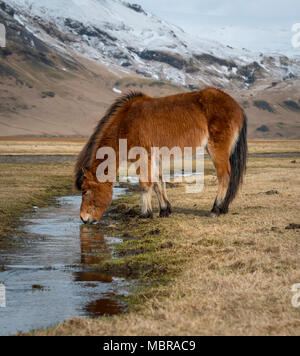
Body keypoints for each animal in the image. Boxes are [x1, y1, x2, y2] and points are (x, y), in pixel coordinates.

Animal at [75, 87, 248, 224]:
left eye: (84, 191)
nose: (83, 219)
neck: (125, 123)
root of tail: (237, 107)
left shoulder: (142, 157)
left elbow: (145, 185)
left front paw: (145, 214)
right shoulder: (153, 158)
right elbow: (158, 182)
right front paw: (165, 210)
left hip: (216, 149)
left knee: (224, 176)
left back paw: (216, 209)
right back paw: (223, 208)